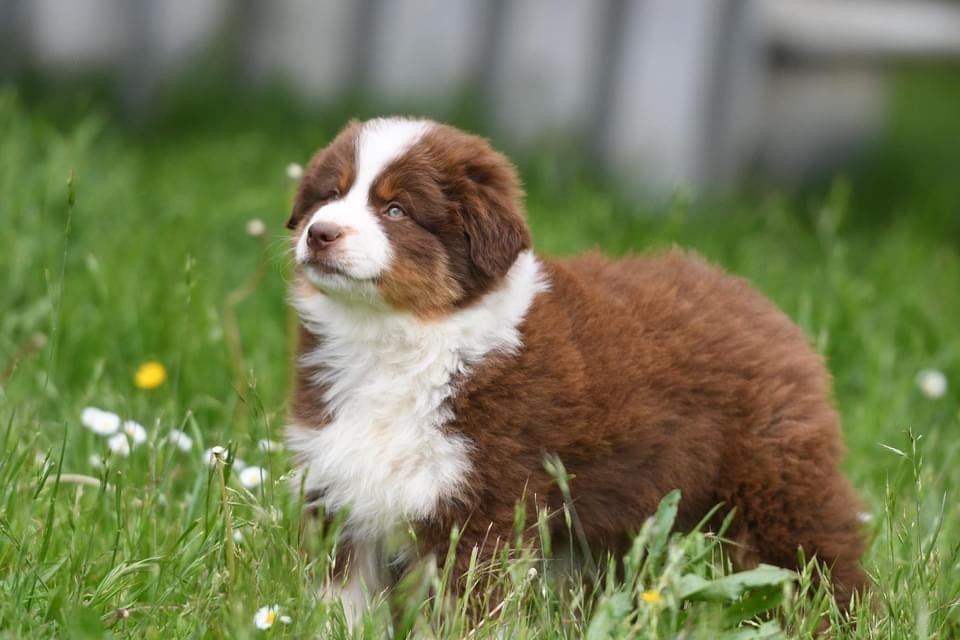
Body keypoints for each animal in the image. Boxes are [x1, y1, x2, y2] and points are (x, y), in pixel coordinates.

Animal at [284, 117, 866, 623]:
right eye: (329, 195)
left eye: (396, 209)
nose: (320, 233)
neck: (397, 338)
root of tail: (758, 302)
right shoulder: (339, 486)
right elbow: (342, 593)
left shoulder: (482, 501)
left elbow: (465, 600)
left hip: (776, 482)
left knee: (820, 556)